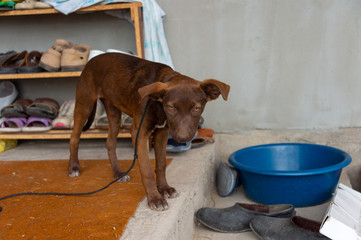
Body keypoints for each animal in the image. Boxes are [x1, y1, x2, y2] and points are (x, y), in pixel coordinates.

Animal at [69, 52, 229, 210]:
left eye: (196, 108)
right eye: (171, 108)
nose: (182, 138)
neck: (158, 103)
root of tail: (92, 60)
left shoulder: (162, 132)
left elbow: (161, 164)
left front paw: (164, 188)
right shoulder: (139, 133)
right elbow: (147, 170)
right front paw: (154, 198)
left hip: (114, 113)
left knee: (110, 143)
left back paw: (118, 173)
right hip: (85, 105)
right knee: (74, 137)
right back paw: (73, 167)